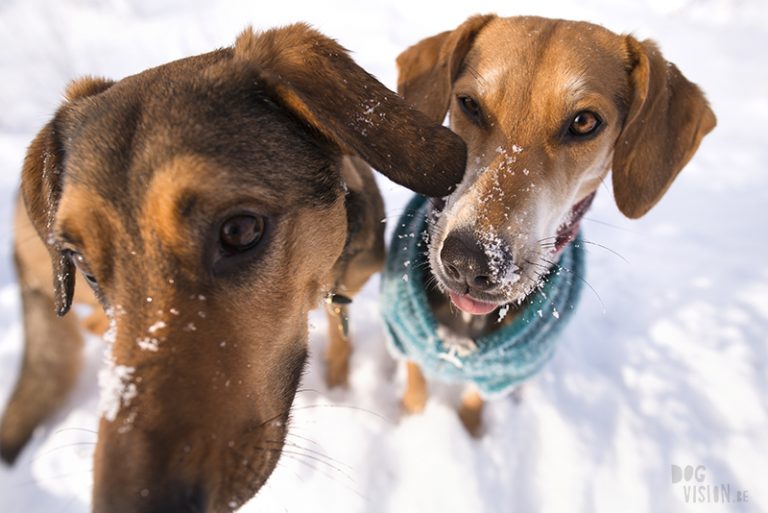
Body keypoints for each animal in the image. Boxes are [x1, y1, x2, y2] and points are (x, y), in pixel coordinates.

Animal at [392, 14, 716, 432]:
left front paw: (471, 431)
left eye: (584, 122)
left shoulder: (503, 373)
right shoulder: (401, 335)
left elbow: (474, 399)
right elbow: (415, 381)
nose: (468, 261)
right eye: (469, 104)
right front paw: (411, 417)